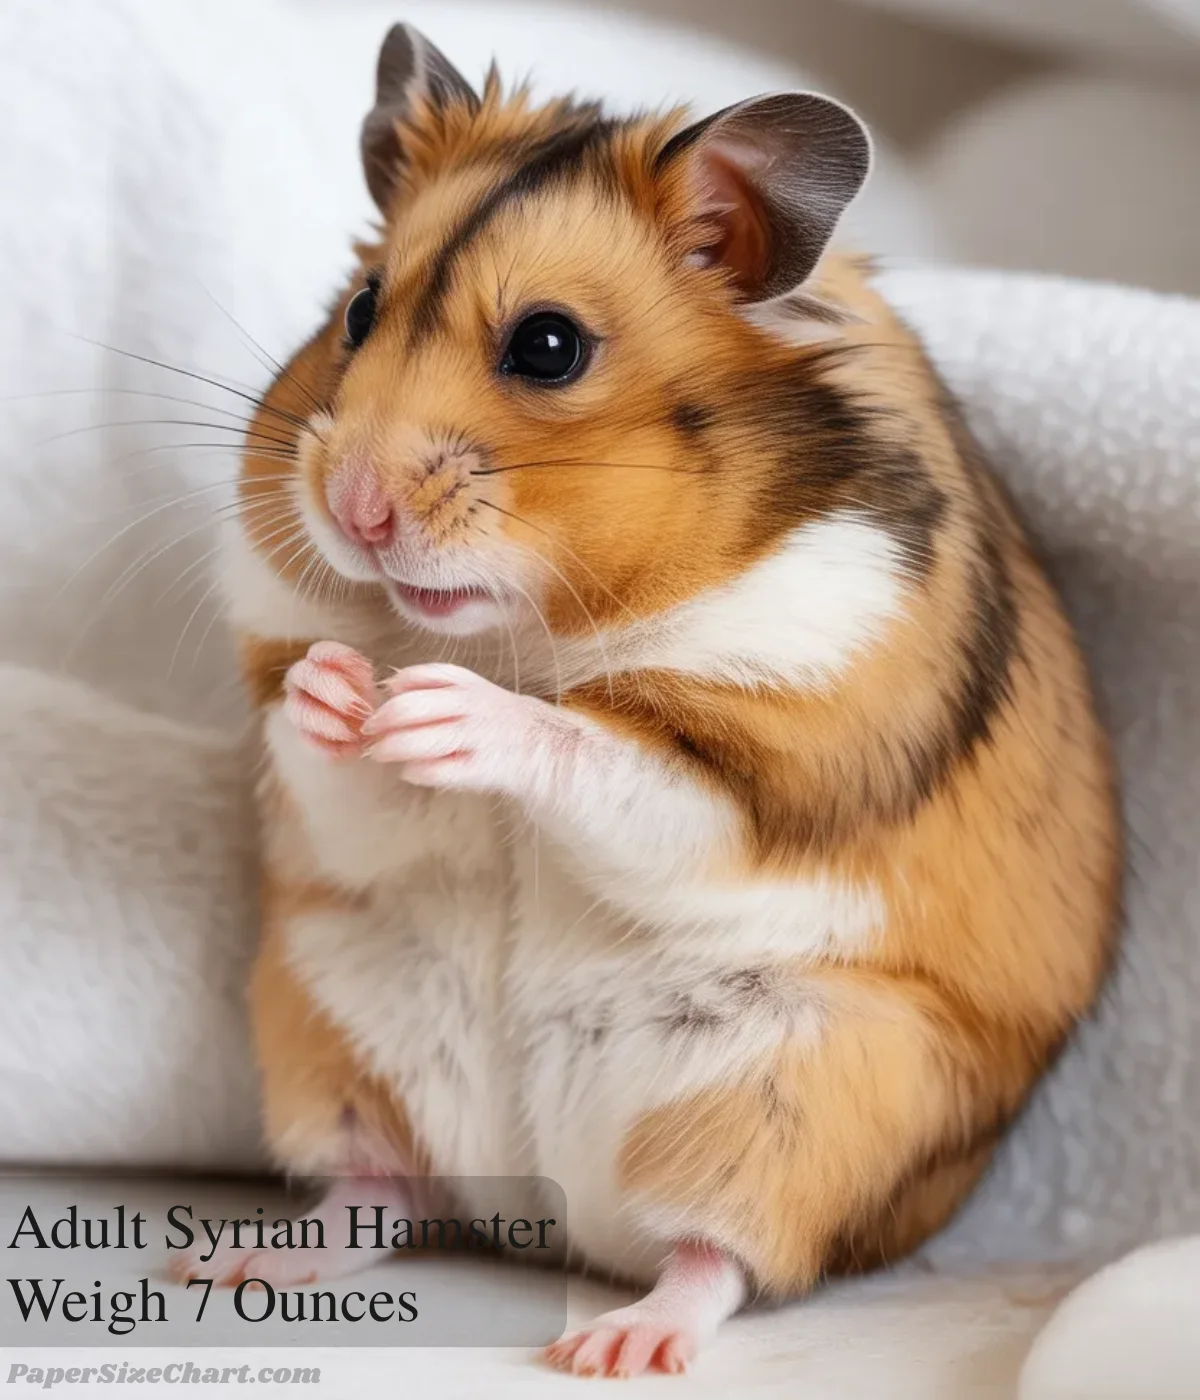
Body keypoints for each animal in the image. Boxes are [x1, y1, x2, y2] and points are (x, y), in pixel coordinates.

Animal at [196, 22, 1121, 1378]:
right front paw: (335, 686)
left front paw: (439, 710)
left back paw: (615, 1345)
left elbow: (609, 764)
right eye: (360, 312)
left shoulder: (775, 757)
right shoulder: (353, 810)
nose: (354, 509)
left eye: (548, 346)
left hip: (802, 1099)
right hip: (328, 1016)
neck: (514, 629)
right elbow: (342, 783)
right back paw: (233, 1261)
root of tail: (543, 1218)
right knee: (384, 1190)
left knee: (715, 1254)